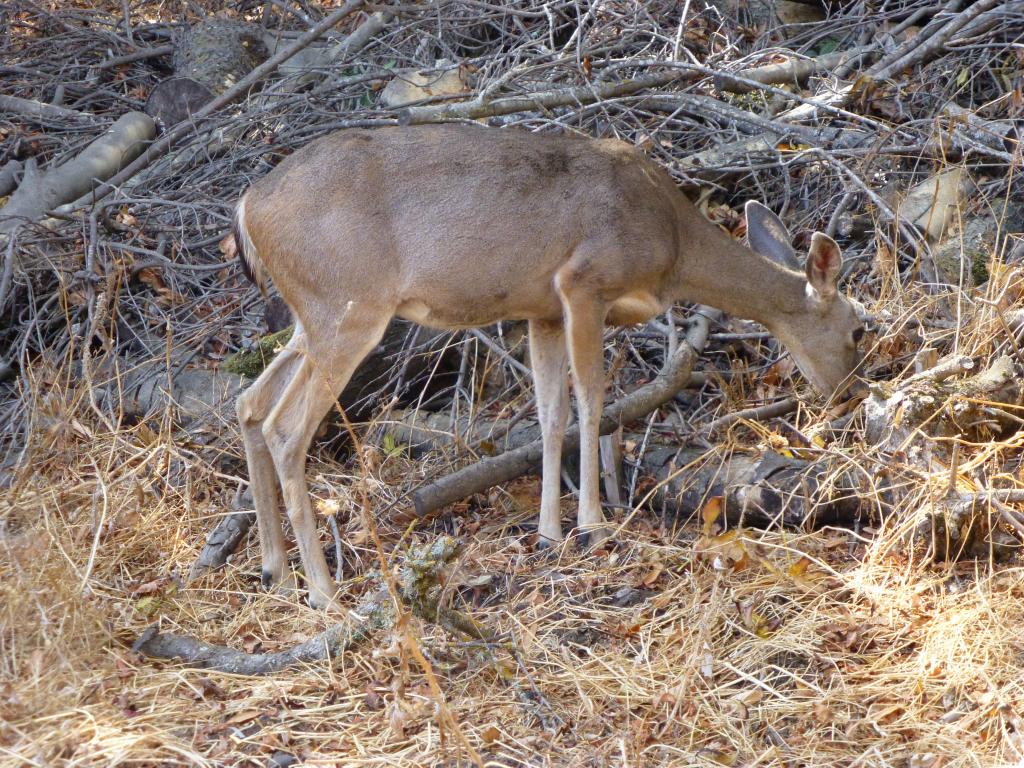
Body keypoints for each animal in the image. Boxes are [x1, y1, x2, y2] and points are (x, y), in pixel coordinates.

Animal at [232, 123, 864, 610]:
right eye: (858, 328)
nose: (849, 391)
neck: (675, 246)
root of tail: (246, 206)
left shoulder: (541, 310)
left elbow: (551, 411)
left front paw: (547, 533)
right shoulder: (584, 281)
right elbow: (592, 399)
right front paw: (592, 524)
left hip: (312, 315)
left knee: (249, 402)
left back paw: (275, 571)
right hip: (347, 305)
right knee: (285, 426)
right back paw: (323, 592)